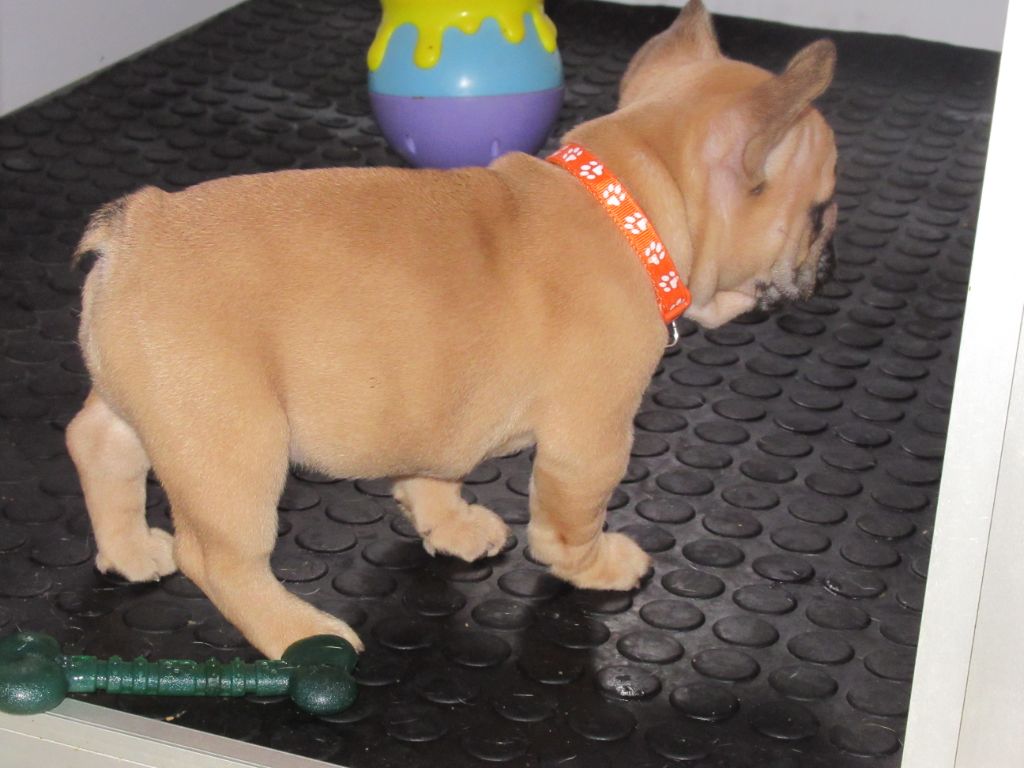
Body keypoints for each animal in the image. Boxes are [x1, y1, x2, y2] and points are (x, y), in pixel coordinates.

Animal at [66, 1, 837, 659]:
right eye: (822, 211)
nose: (830, 260)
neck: (631, 204)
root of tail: (134, 230)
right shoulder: (590, 441)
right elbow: (571, 520)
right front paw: (594, 564)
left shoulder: (435, 404)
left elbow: (432, 471)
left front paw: (451, 523)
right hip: (231, 440)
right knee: (216, 557)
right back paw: (299, 635)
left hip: (153, 404)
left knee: (98, 442)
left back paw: (129, 549)